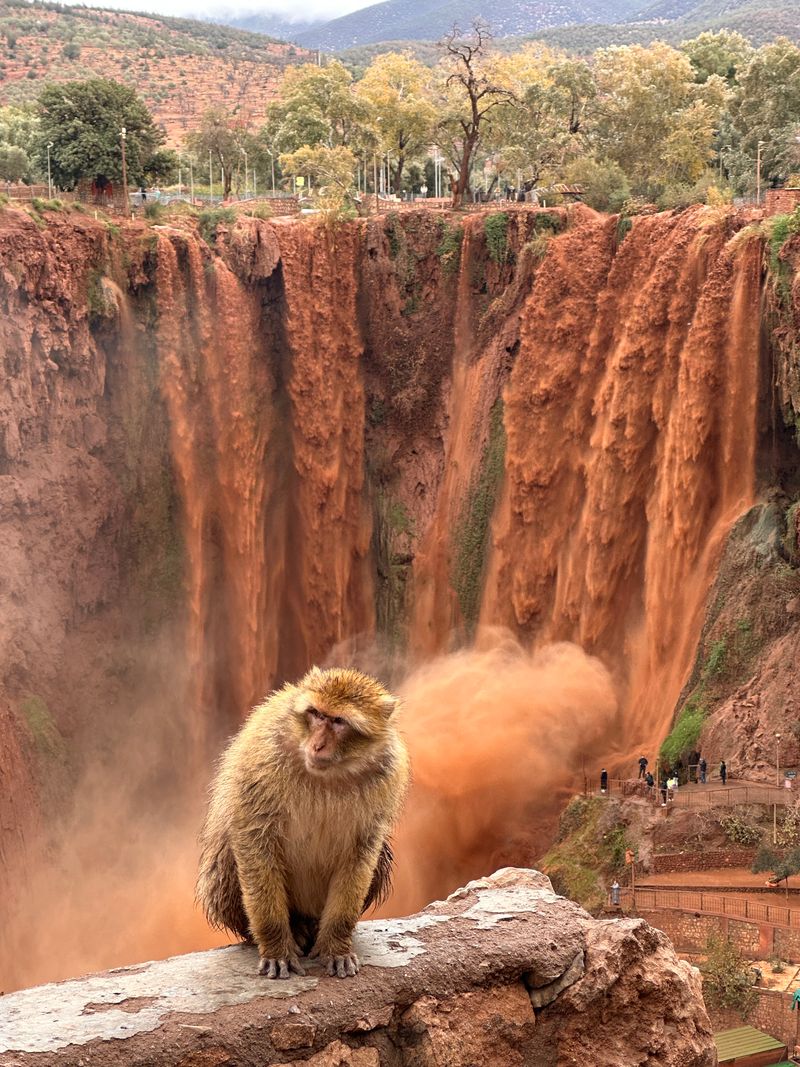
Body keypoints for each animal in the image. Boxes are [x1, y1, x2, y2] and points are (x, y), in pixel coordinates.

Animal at [195, 666, 410, 980]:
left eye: (339, 721)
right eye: (316, 714)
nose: (318, 745)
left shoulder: (388, 774)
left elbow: (363, 851)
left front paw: (336, 945)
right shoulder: (263, 754)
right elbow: (253, 837)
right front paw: (276, 947)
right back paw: (293, 929)